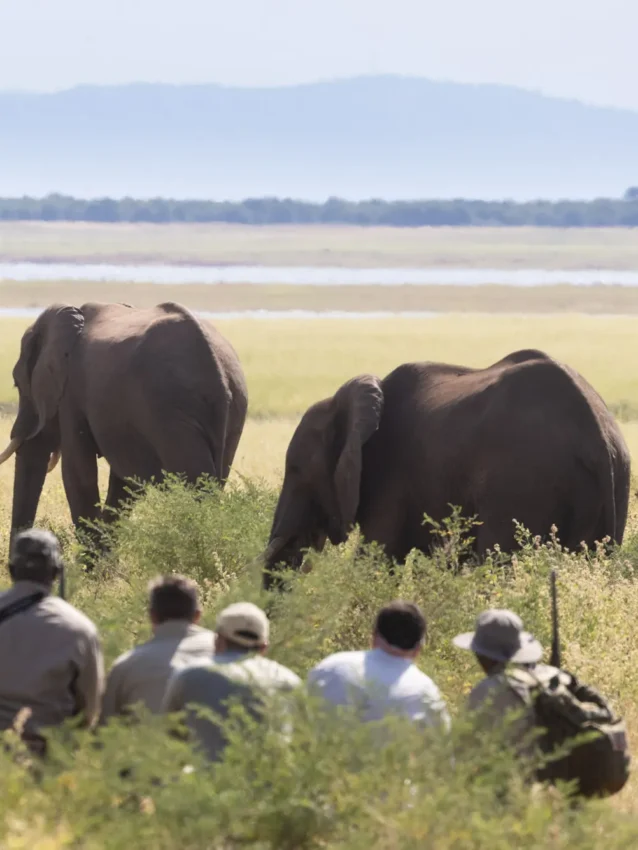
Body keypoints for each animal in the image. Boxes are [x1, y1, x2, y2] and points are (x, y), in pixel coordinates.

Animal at [0, 301, 248, 539]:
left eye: (17, 385)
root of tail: (218, 375)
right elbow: (123, 485)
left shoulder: (71, 395)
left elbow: (78, 474)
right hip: (230, 411)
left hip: (171, 411)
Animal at [264, 349, 630, 589]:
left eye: (295, 469)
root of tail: (597, 436)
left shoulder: (390, 478)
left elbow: (377, 559)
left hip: (521, 484)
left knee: (498, 564)